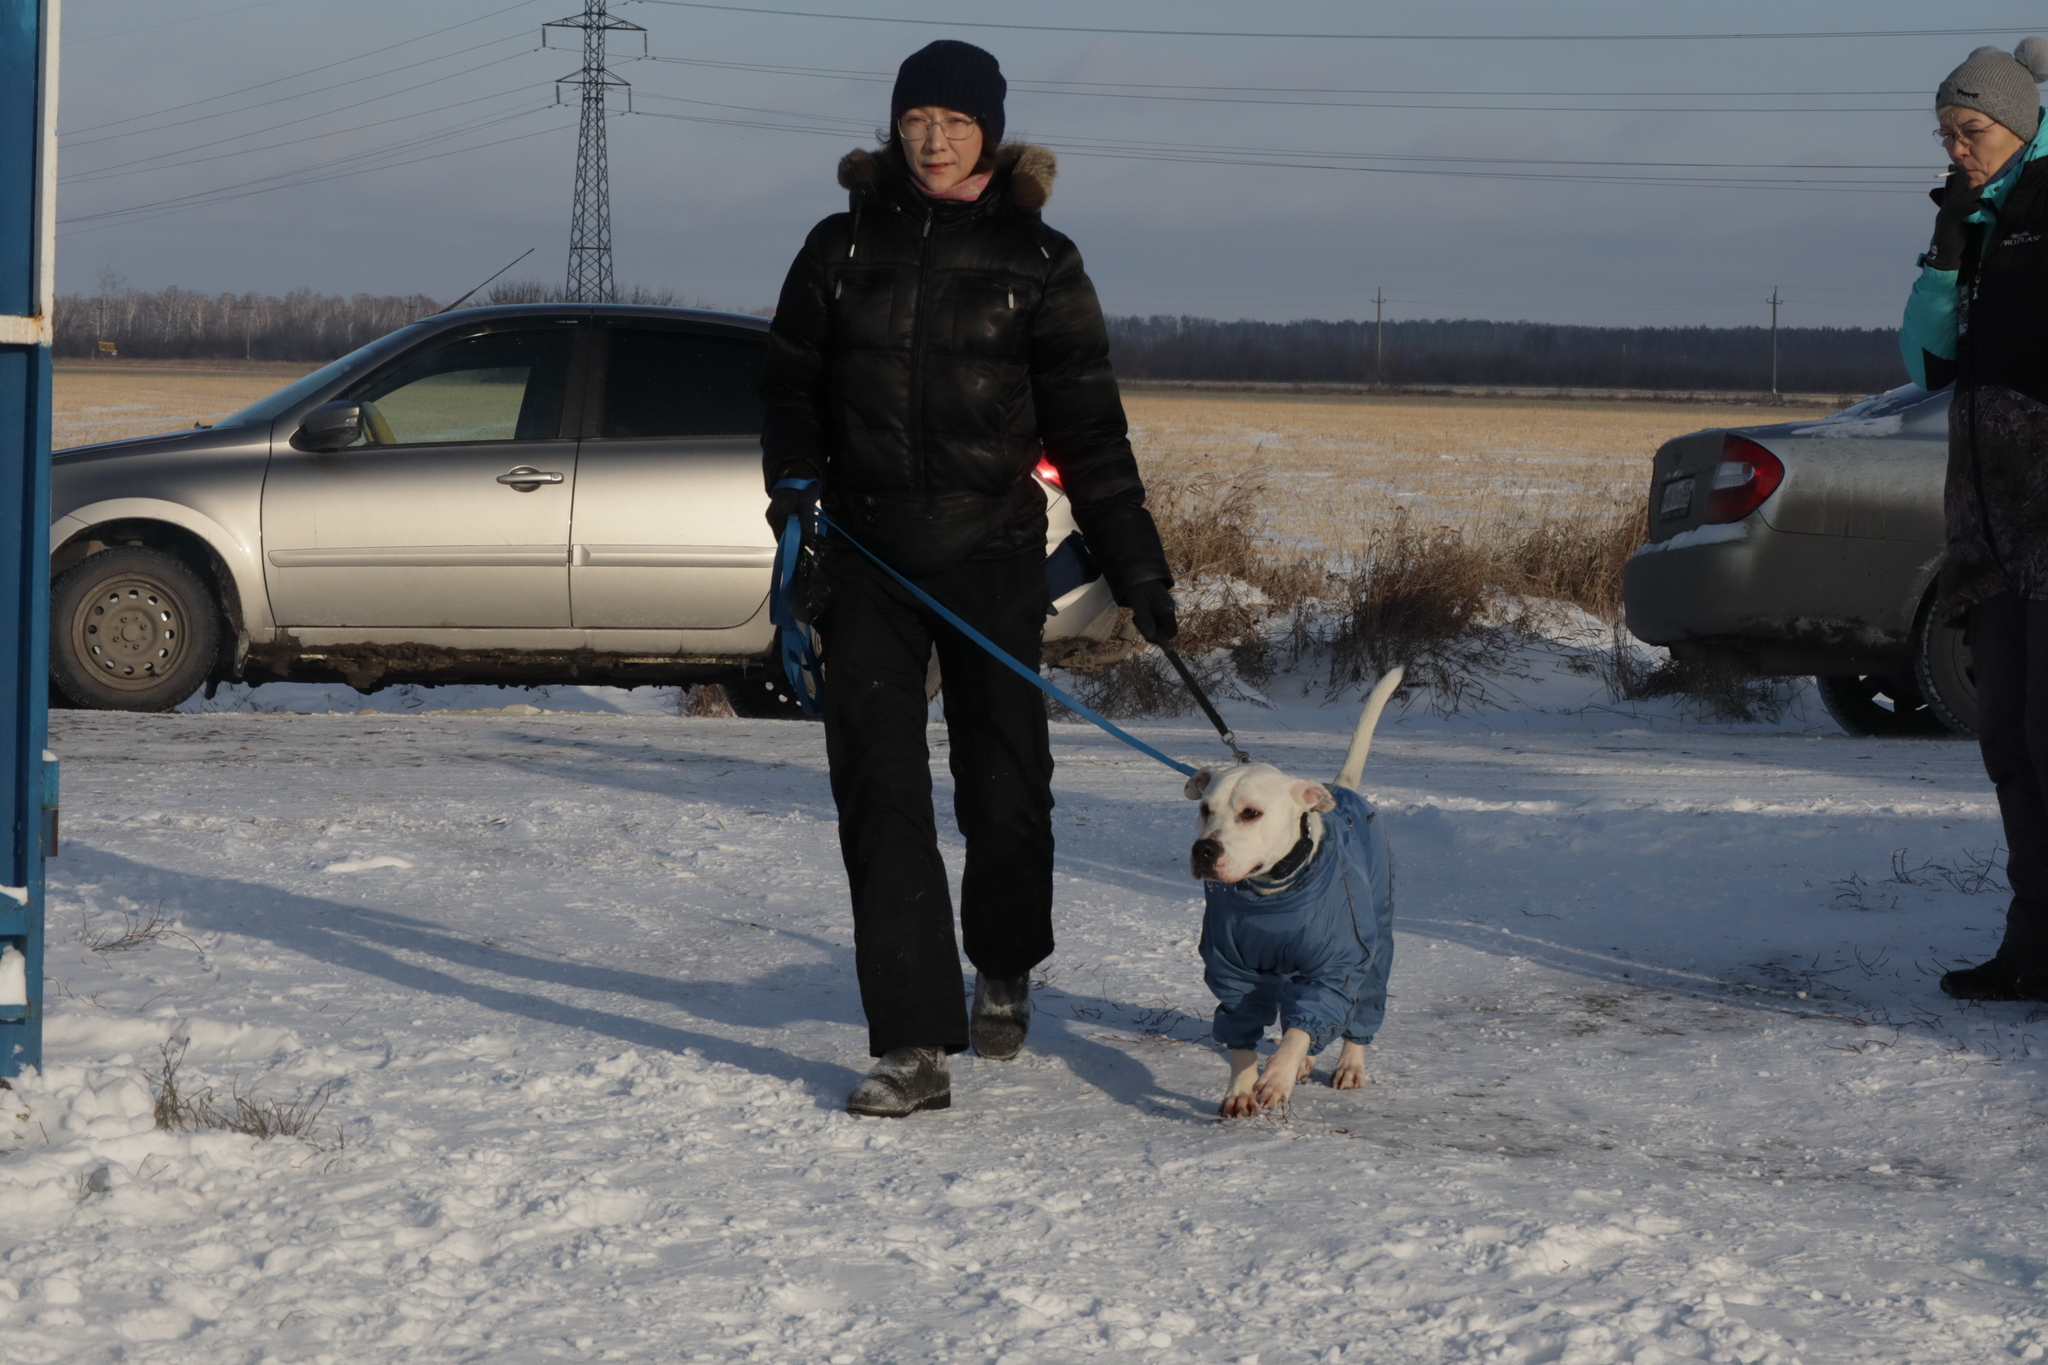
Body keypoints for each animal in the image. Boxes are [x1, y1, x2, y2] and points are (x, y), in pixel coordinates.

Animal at [1187, 667, 1409, 1113]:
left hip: (1376, 940)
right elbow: (1243, 1027)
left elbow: (1304, 1026)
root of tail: (1342, 788)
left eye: (1251, 813)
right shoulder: (1233, 969)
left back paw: (1348, 1063)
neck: (1273, 894)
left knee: (1357, 1004)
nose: (1204, 849)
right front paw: (1239, 1089)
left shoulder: (1336, 966)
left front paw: (1277, 1077)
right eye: (1204, 808)